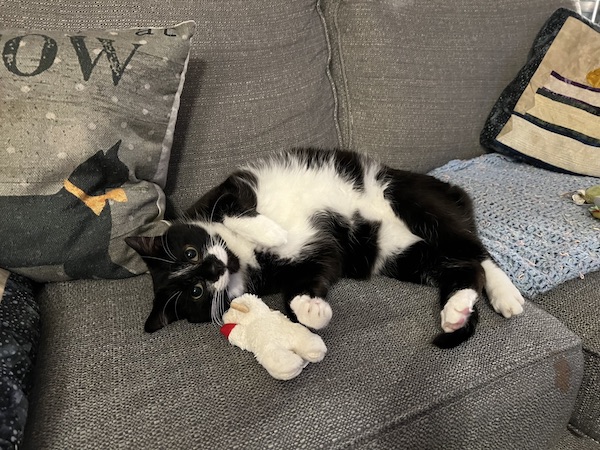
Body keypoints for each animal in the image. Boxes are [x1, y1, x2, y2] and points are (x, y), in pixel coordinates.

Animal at [127, 148, 524, 348]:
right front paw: (311, 311)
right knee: (463, 267)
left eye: (190, 253)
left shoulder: (229, 189)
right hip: (403, 256)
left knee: (477, 252)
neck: (243, 255)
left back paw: (506, 295)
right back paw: (456, 311)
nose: (214, 269)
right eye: (196, 291)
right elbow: (303, 284)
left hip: (416, 200)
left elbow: (230, 209)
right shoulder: (316, 255)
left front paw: (270, 230)